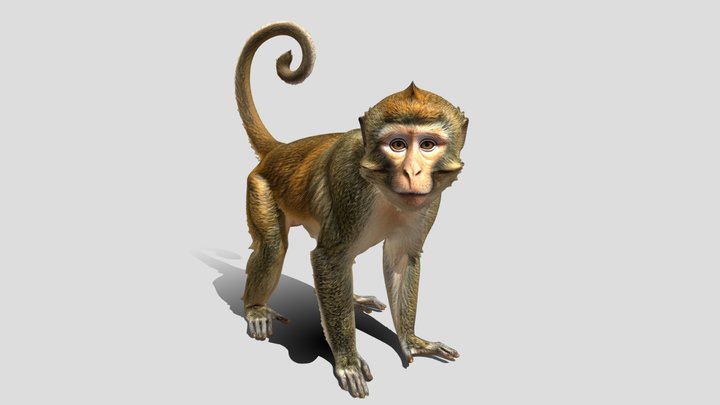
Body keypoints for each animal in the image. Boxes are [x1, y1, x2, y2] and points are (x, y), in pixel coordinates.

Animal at [235, 22, 468, 398]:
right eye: (397, 144)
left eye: (428, 145)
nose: (412, 172)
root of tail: (280, 150)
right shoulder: (349, 185)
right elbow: (327, 259)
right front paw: (347, 360)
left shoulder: (430, 202)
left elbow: (400, 258)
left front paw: (411, 341)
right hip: (258, 185)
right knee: (273, 246)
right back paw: (255, 308)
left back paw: (352, 299)